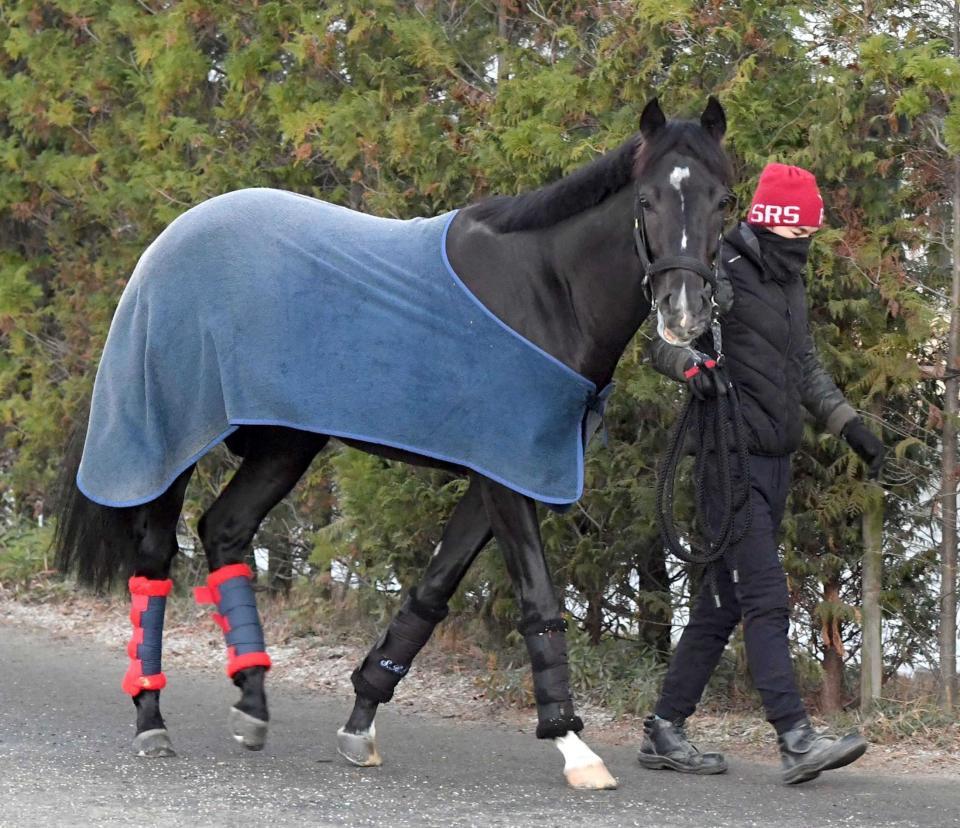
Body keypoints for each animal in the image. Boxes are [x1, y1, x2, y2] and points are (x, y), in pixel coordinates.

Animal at [56, 98, 732, 788]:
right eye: (646, 200)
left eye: (724, 200)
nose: (683, 313)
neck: (544, 293)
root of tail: (162, 246)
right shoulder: (507, 476)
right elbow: (537, 599)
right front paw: (573, 744)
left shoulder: (499, 472)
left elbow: (431, 592)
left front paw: (361, 723)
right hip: (172, 440)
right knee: (154, 560)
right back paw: (152, 719)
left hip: (285, 442)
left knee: (224, 529)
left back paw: (252, 702)